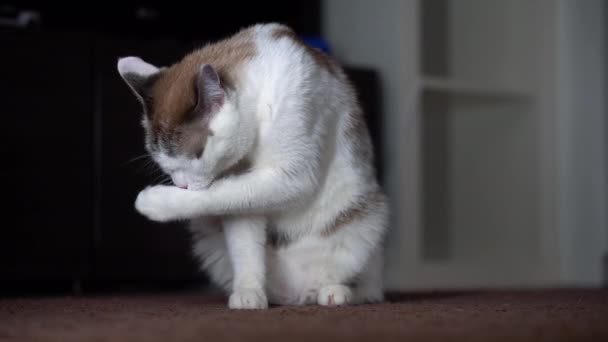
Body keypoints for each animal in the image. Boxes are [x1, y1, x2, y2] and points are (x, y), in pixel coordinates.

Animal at [116, 22, 388, 308]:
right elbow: (242, 233)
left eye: (198, 153)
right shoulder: (242, 192)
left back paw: (335, 292)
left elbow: (217, 194)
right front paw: (249, 292)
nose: (182, 185)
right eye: (160, 161)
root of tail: (294, 293)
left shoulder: (293, 175)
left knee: (363, 283)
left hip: (370, 218)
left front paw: (154, 201)